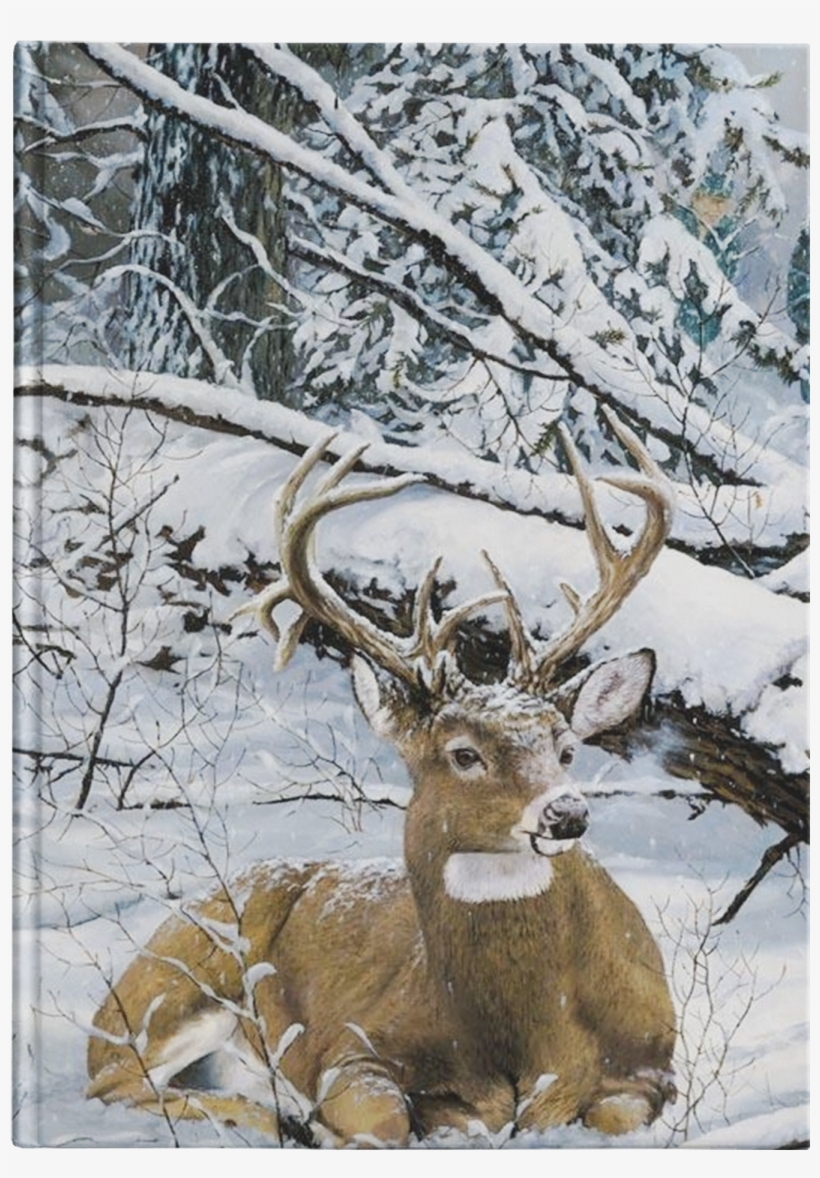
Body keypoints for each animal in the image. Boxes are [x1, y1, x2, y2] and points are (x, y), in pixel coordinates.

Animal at [87, 407, 677, 1147]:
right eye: (462, 753)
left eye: (566, 748)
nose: (566, 813)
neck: (523, 1039)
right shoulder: (353, 1045)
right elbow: (388, 1119)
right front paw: (322, 1121)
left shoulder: (654, 1064)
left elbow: (612, 1113)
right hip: (177, 983)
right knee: (113, 1082)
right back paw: (273, 1116)